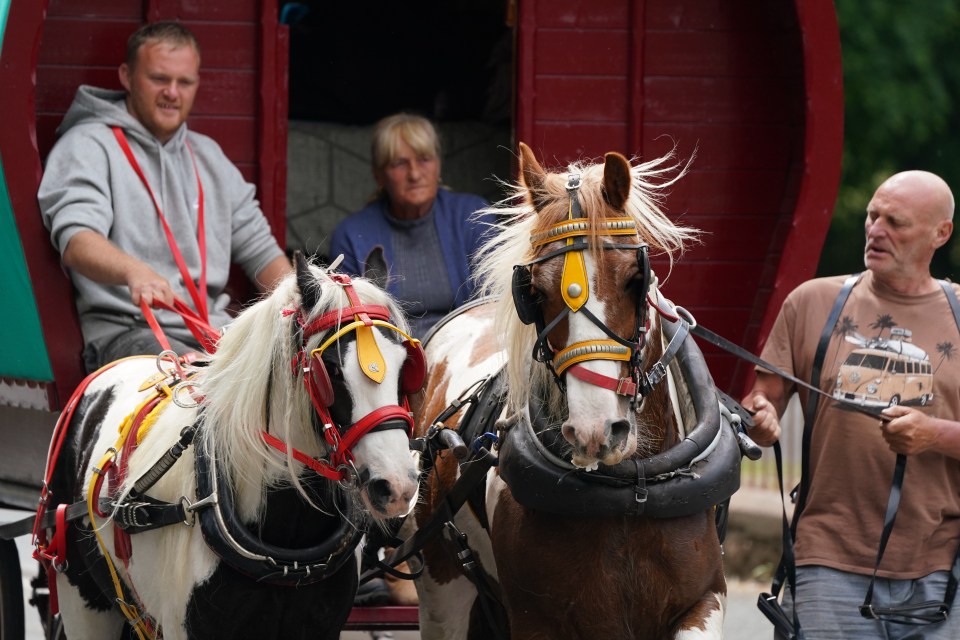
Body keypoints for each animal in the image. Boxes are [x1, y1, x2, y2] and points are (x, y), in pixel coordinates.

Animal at [412, 145, 744, 640]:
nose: (596, 431)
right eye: (535, 291)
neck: (628, 493)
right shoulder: (536, 620)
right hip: (442, 585)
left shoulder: (703, 601)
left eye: (635, 279)